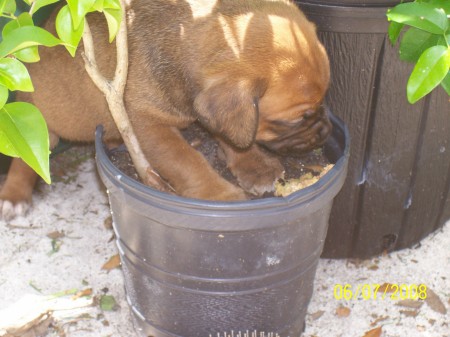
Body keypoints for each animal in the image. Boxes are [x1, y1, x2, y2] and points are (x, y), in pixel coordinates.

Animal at [0, 0, 330, 218]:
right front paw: (220, 195)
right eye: (296, 119)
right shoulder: (148, 124)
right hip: (33, 121)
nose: (326, 133)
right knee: (27, 158)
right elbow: (187, 160)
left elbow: (229, 134)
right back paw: (14, 194)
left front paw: (254, 165)